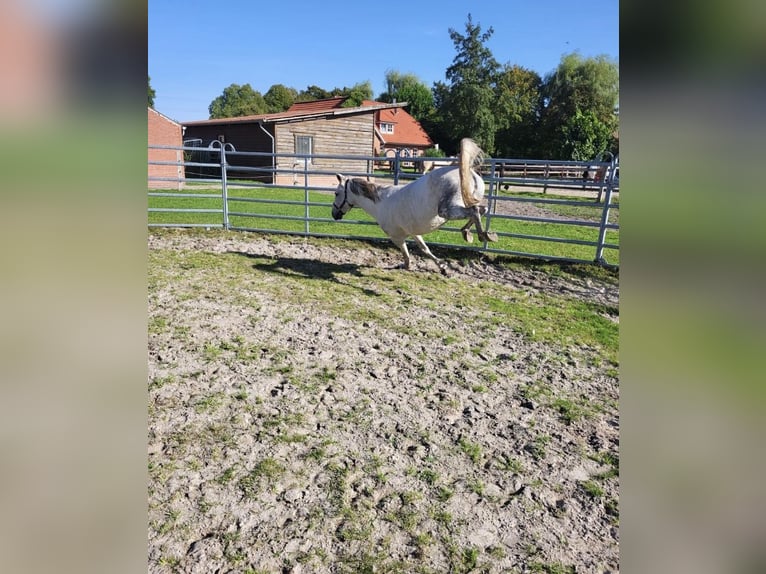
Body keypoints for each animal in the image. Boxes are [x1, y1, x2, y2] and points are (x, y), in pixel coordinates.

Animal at [332, 140, 500, 274]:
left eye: (336, 193)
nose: (334, 214)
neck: (380, 204)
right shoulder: (413, 232)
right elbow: (425, 249)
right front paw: (442, 267)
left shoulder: (397, 237)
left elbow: (406, 252)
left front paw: (406, 266)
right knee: (482, 209)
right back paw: (475, 233)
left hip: (446, 210)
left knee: (475, 211)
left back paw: (479, 235)